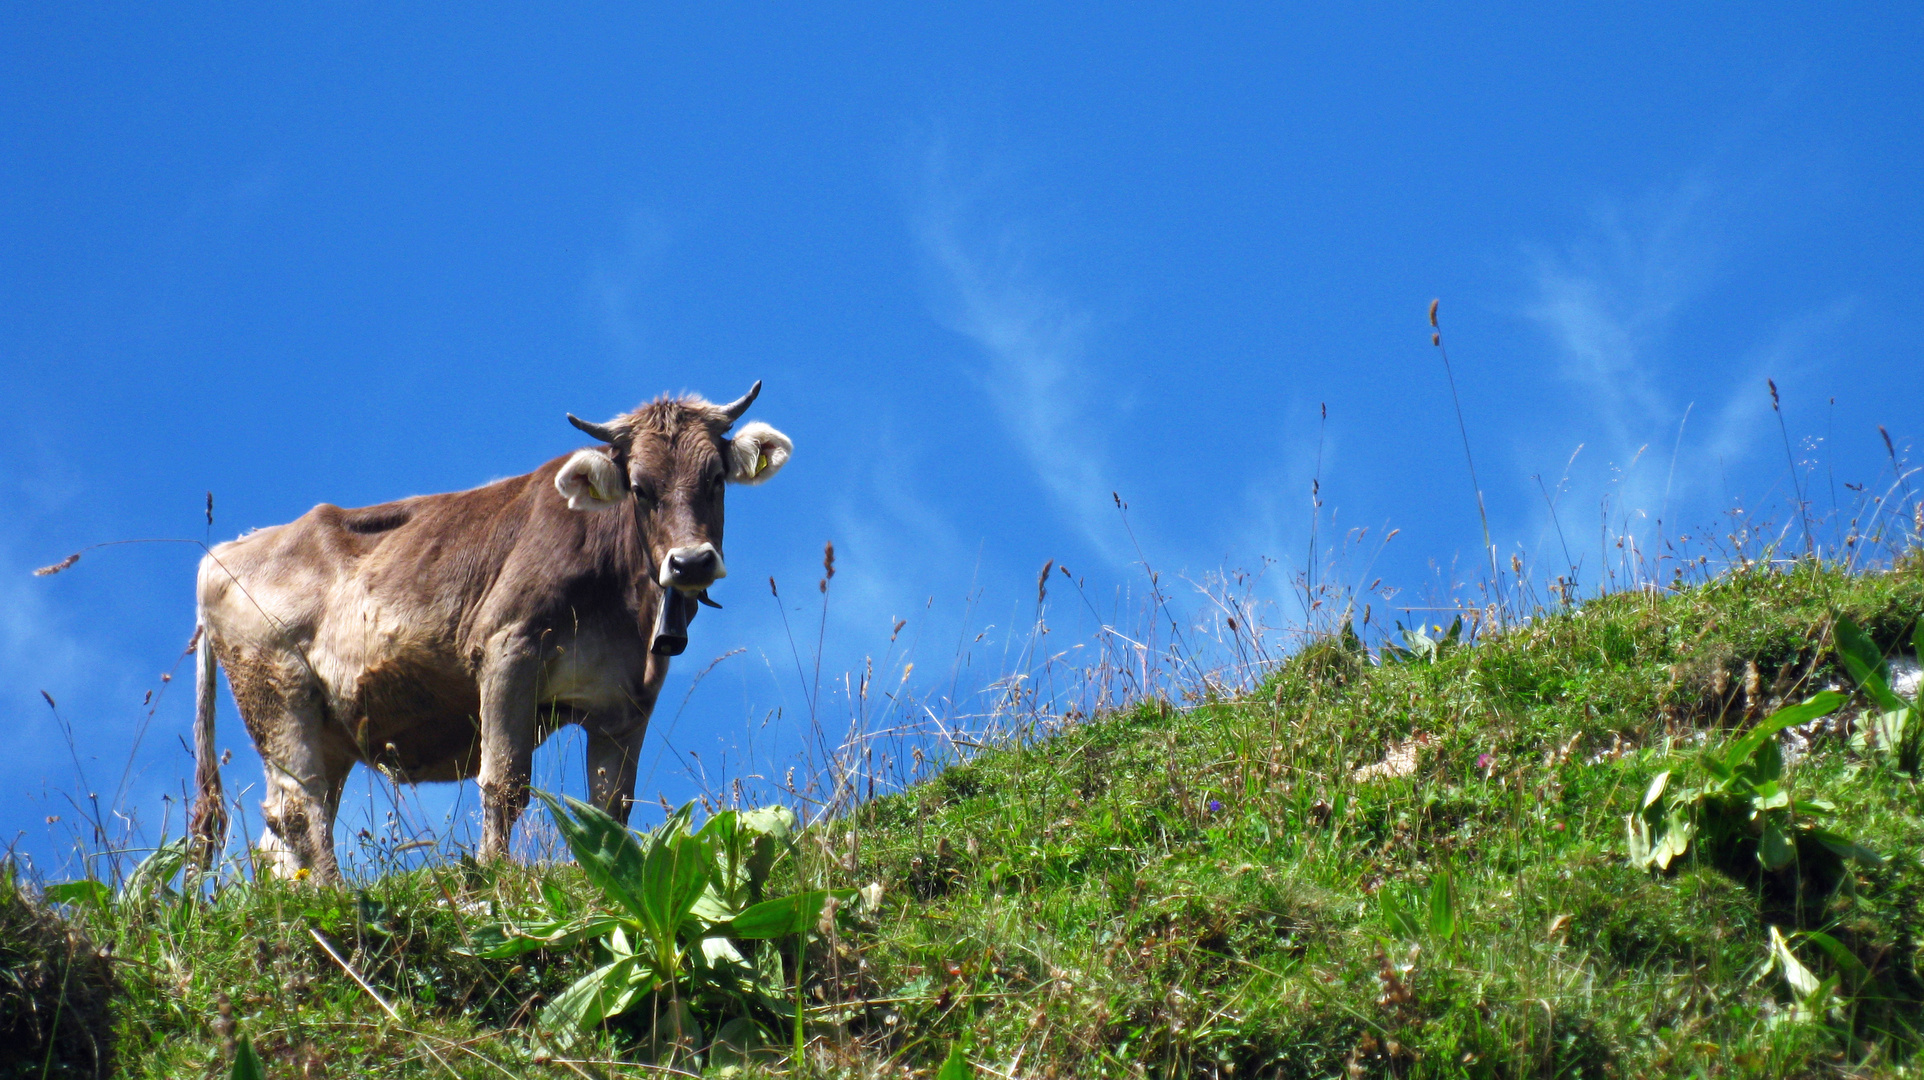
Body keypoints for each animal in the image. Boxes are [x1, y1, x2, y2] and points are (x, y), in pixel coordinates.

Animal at [191, 383, 792, 881]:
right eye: (640, 488)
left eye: (715, 479)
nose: (690, 562)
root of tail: (223, 554)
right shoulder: (508, 650)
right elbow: (504, 783)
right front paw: (495, 875)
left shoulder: (627, 702)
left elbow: (611, 805)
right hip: (276, 692)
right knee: (301, 811)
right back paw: (333, 898)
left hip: (327, 728)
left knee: (284, 831)